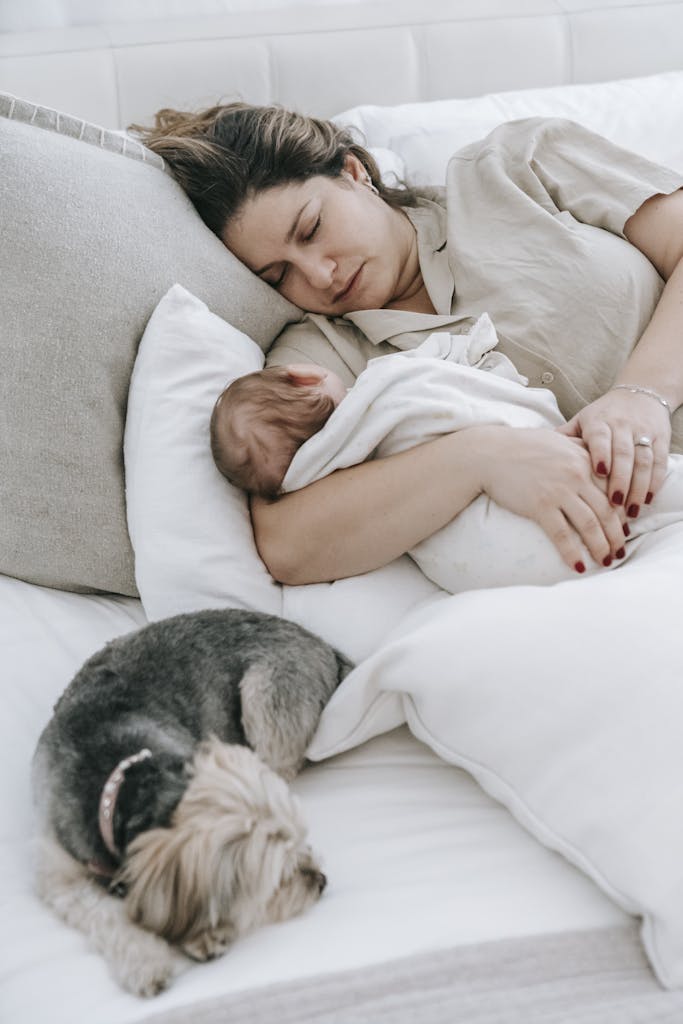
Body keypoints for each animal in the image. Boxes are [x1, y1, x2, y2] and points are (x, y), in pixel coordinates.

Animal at [31, 610, 352, 995]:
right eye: (270, 873)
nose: (321, 880)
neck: (123, 783)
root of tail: (322, 644)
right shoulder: (58, 875)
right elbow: (103, 913)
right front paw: (145, 961)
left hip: (264, 697)